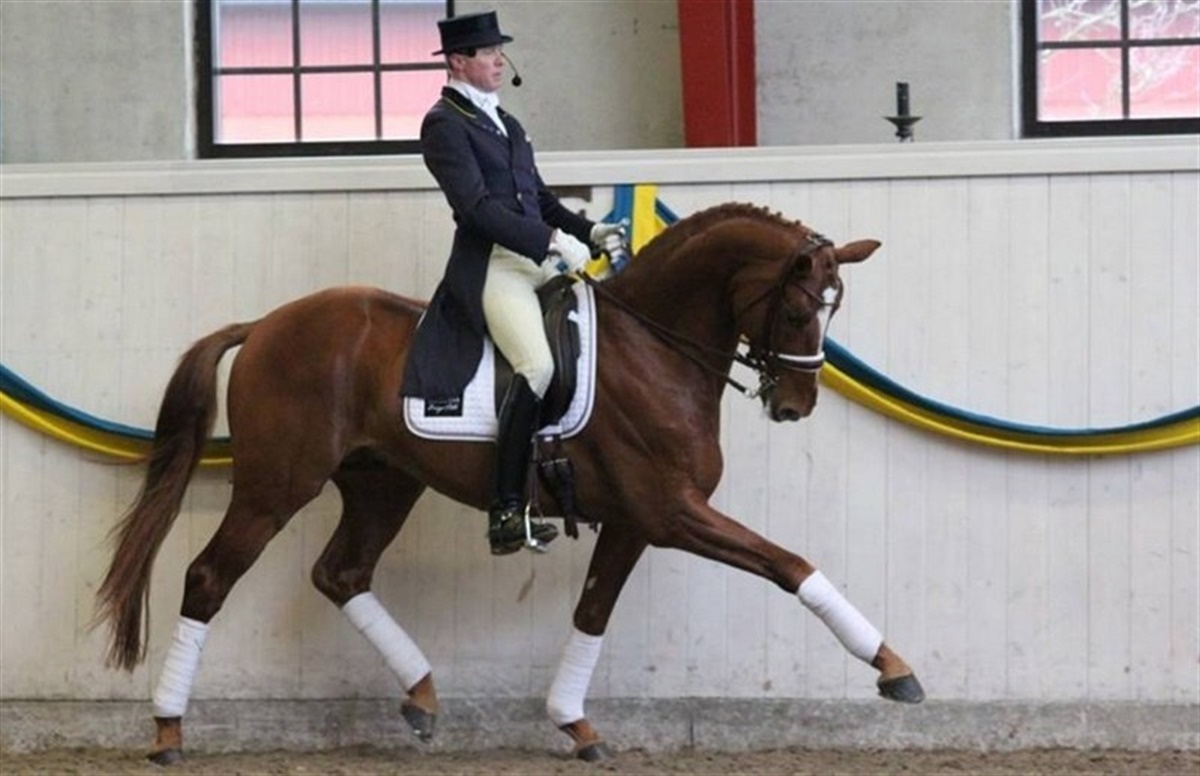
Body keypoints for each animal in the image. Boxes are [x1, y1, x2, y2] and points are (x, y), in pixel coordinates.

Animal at [94, 202, 924, 764]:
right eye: (798, 309)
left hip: (383, 483)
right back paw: (168, 730)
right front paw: (894, 669)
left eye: (833, 310)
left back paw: (423, 697)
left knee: (342, 572)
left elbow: (592, 612)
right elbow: (790, 564)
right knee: (209, 577)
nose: (794, 406)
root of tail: (265, 325)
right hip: (276, 486)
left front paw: (574, 724)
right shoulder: (671, 512)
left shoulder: (635, 521)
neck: (653, 349)